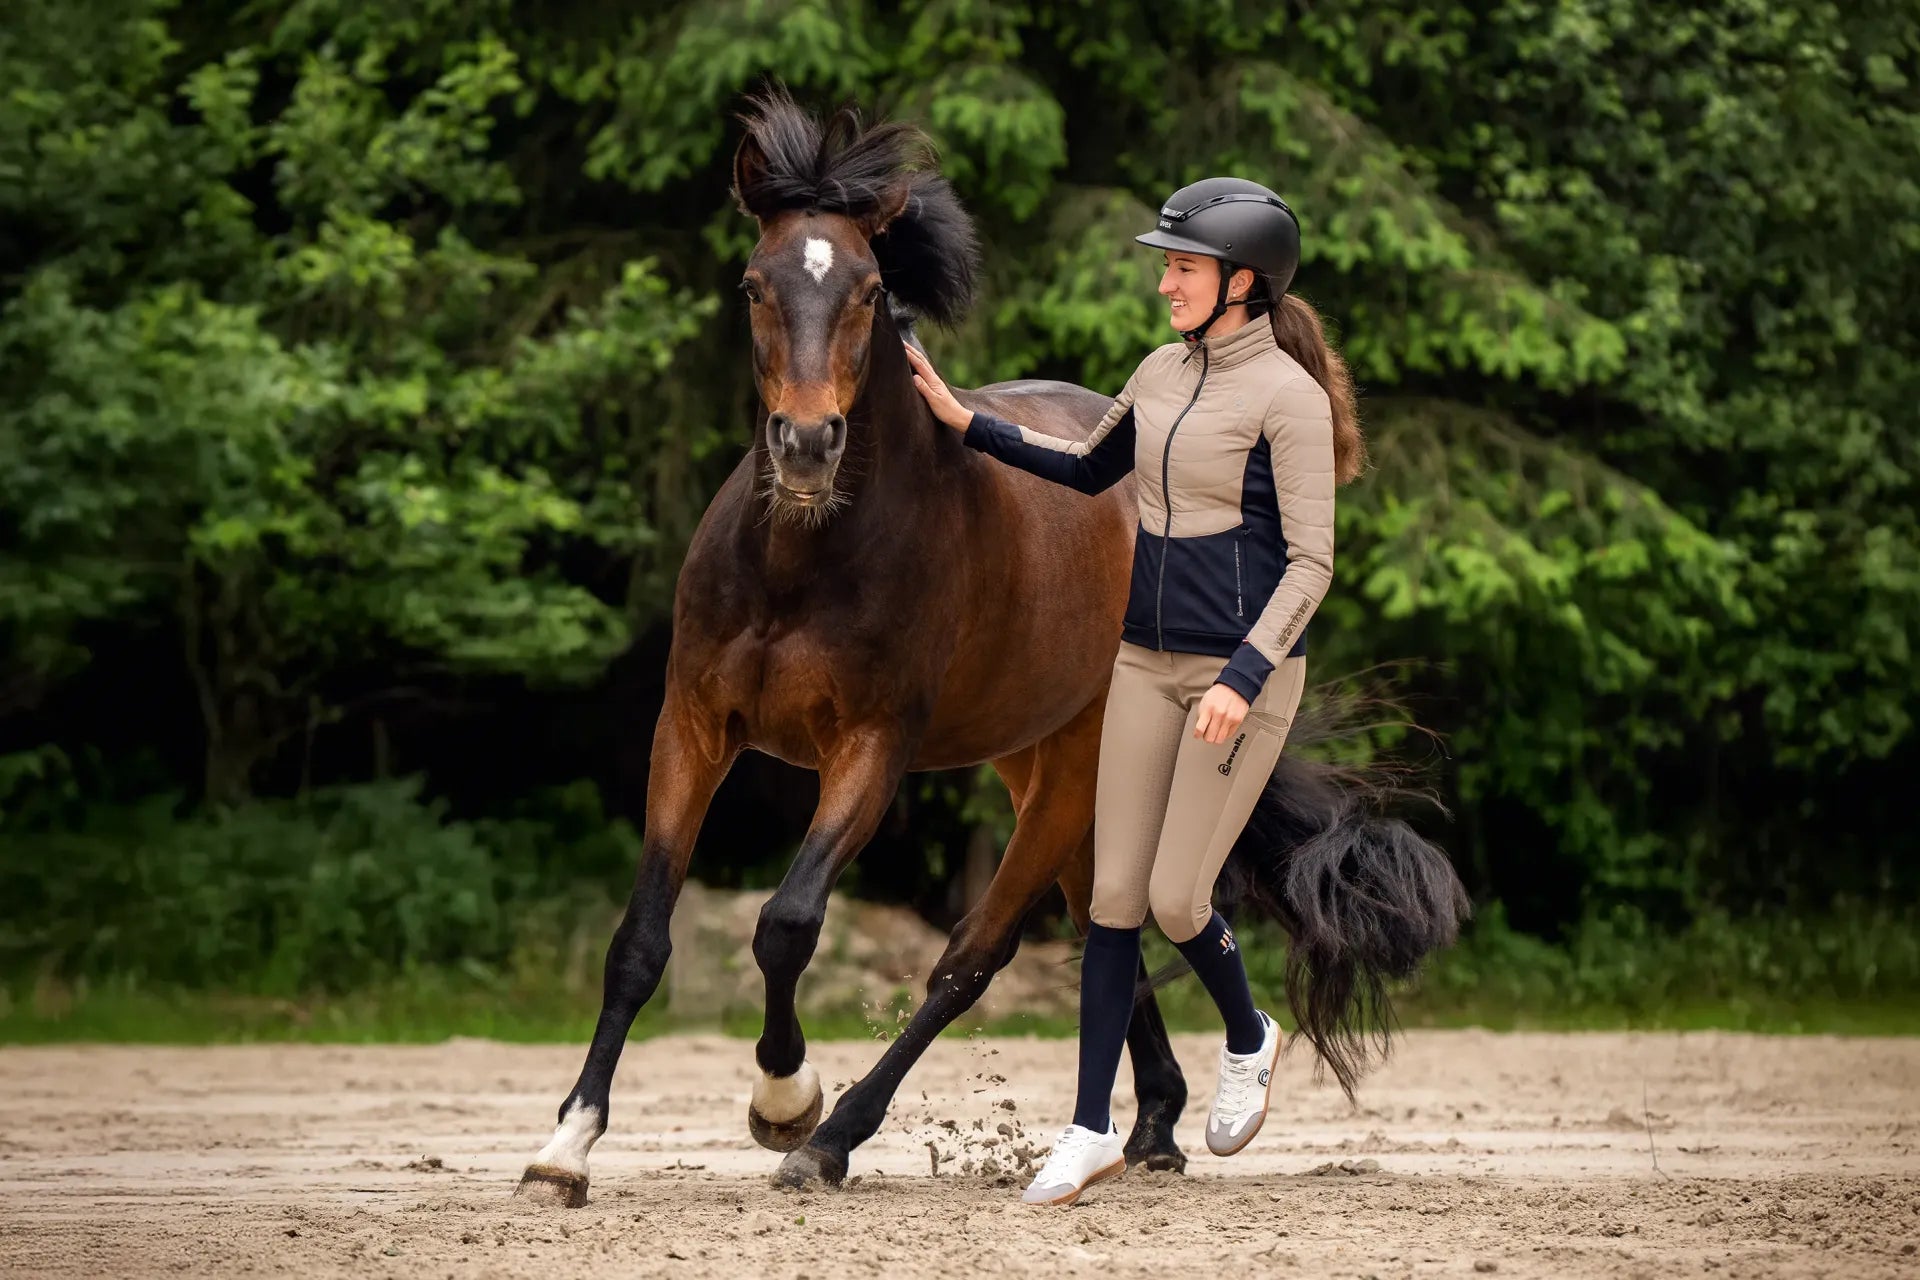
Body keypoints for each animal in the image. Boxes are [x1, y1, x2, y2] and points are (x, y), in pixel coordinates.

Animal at [515, 88, 1467, 1203]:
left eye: (868, 290)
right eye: (754, 285)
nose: (807, 446)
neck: (802, 556)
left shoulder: (871, 749)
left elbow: (787, 922)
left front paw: (783, 1097)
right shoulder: (696, 727)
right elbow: (639, 938)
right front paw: (566, 1146)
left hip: (1074, 770)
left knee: (981, 953)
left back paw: (836, 1138)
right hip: (1044, 767)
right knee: (1112, 920)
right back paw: (1153, 1125)